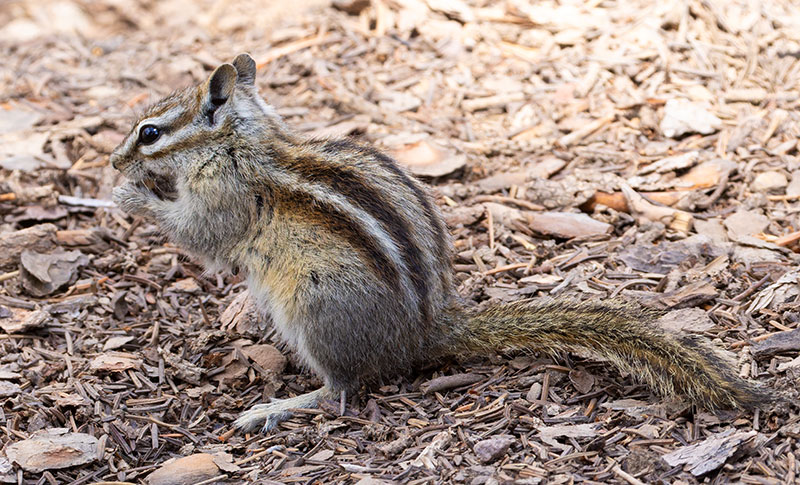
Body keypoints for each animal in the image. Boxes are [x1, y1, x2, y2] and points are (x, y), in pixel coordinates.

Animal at [111, 54, 770, 432]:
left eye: (149, 133)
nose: (115, 158)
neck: (243, 143)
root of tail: (425, 333)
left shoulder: (224, 197)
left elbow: (201, 237)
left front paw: (129, 195)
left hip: (316, 312)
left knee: (344, 390)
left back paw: (274, 408)